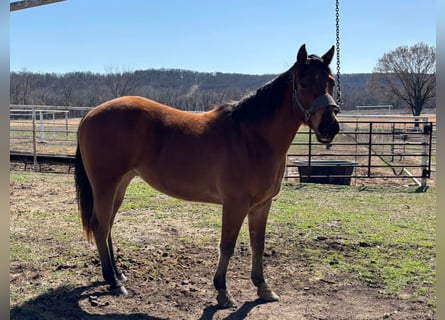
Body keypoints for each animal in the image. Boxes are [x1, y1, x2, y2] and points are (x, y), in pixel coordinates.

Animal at [74, 43, 338, 308]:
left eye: (331, 82)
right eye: (303, 83)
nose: (330, 127)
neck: (252, 137)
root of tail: (90, 115)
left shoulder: (262, 204)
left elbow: (258, 244)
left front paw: (263, 287)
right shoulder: (235, 204)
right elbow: (227, 246)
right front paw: (222, 291)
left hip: (121, 183)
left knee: (108, 225)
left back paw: (118, 274)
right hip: (105, 185)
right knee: (100, 226)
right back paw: (113, 282)